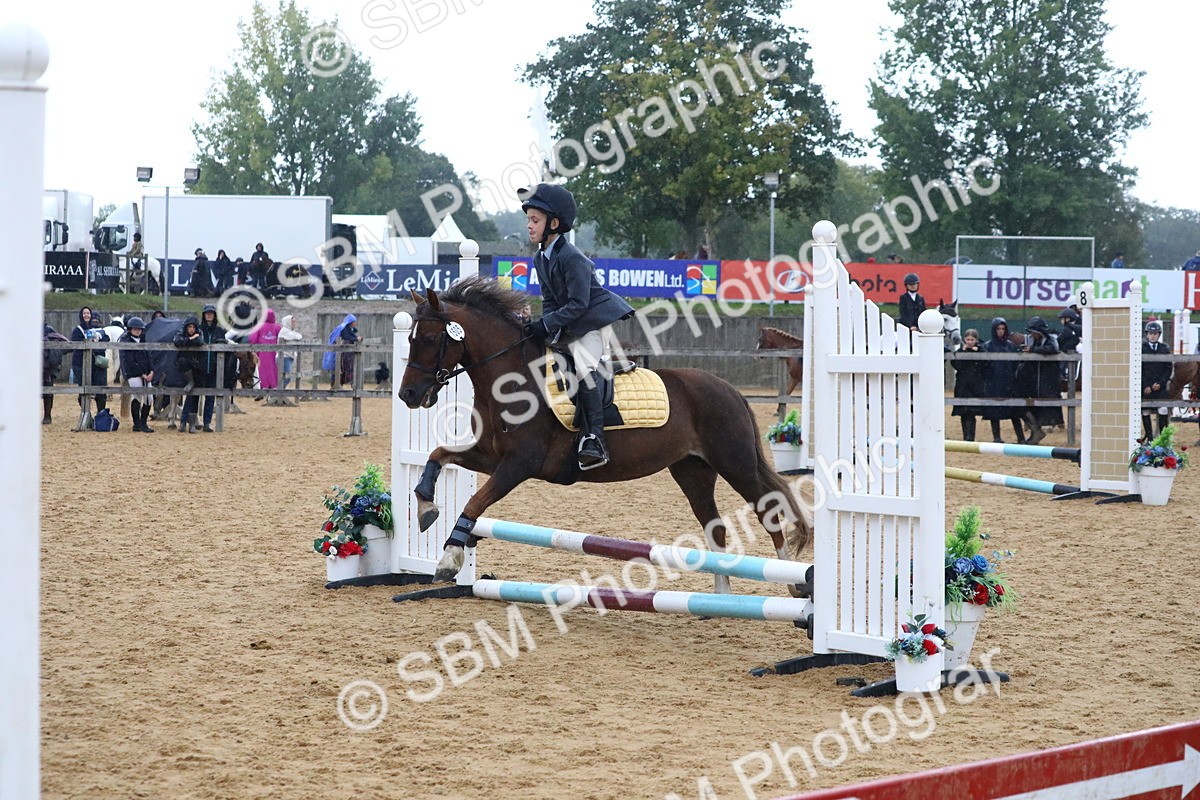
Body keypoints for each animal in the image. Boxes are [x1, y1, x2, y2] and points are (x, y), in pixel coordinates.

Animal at [398, 276, 811, 592]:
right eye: (411, 339)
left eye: (431, 339)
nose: (408, 395)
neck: (511, 381)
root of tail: (729, 389)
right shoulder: (490, 457)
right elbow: (438, 454)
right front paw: (426, 507)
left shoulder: (519, 464)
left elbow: (474, 503)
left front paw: (449, 558)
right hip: (693, 470)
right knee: (716, 527)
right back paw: (720, 599)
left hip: (735, 463)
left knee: (768, 511)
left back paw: (791, 582)